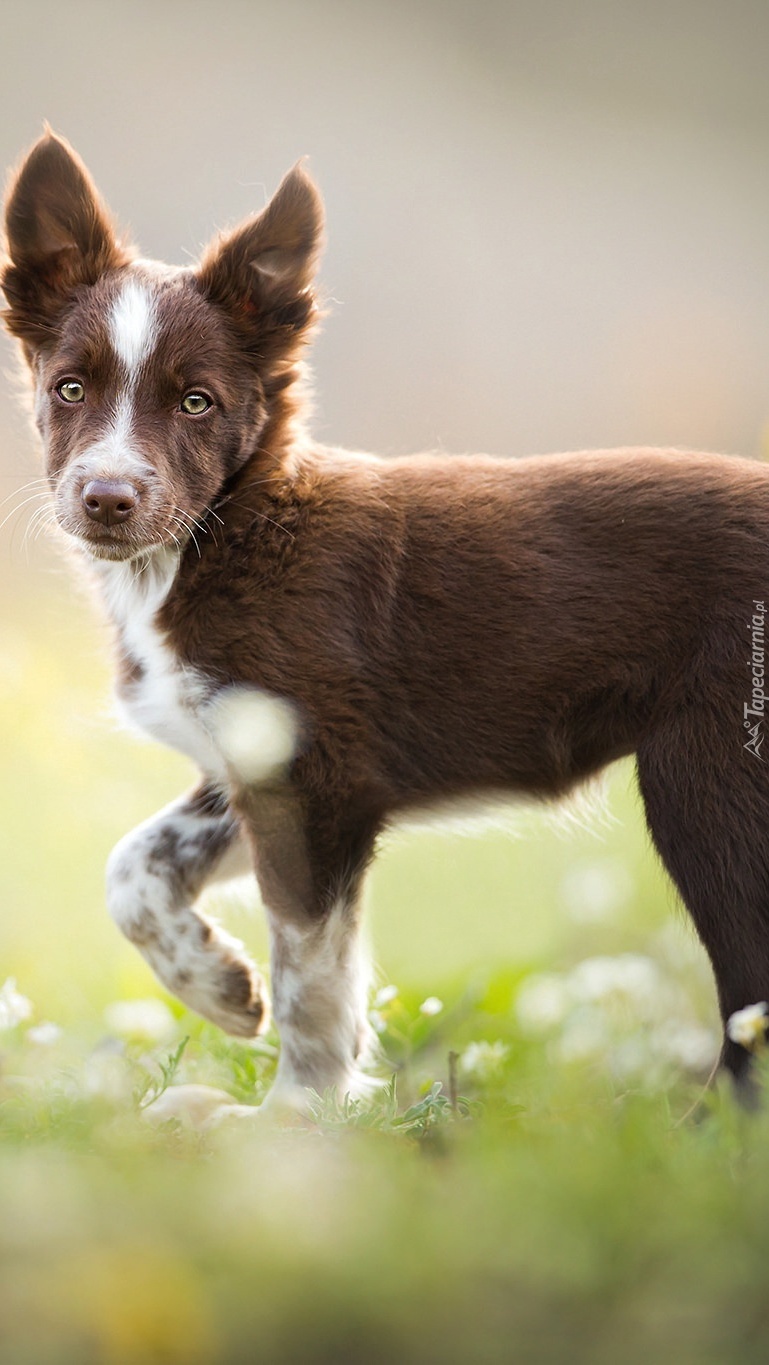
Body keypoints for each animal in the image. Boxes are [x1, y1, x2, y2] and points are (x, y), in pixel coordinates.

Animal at [1, 130, 769, 1108]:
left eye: (195, 402)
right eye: (69, 388)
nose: (106, 498)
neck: (226, 534)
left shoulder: (320, 780)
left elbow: (311, 975)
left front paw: (295, 1113)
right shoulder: (258, 756)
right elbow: (133, 865)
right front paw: (219, 987)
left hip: (708, 780)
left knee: (750, 1006)